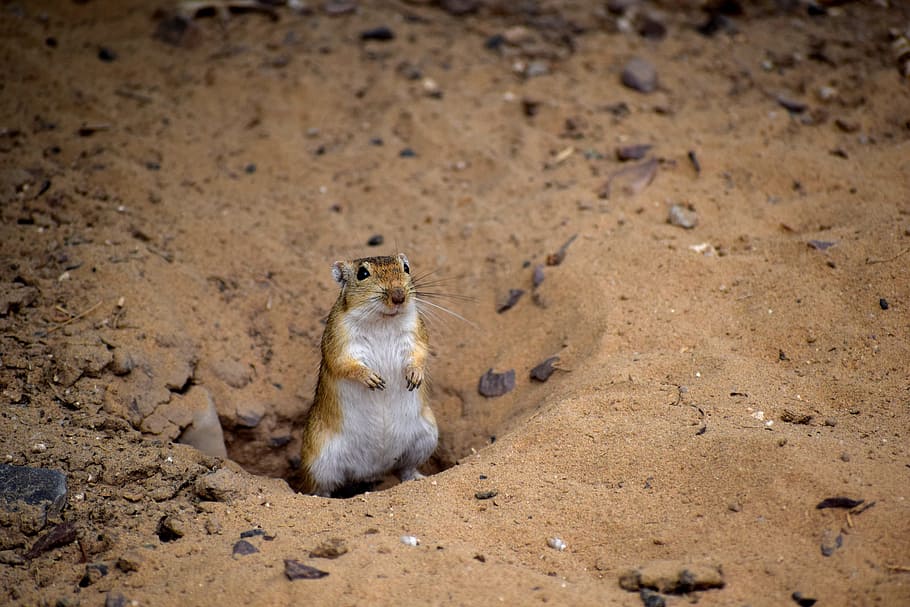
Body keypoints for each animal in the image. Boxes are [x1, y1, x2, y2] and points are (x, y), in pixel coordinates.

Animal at [297, 253, 437, 497]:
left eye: (406, 268)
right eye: (362, 273)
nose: (399, 296)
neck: (383, 320)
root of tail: (373, 469)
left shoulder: (416, 336)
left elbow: (419, 355)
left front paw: (415, 376)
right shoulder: (340, 345)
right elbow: (346, 364)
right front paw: (372, 379)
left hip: (425, 438)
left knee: (406, 469)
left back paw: (418, 478)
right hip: (319, 460)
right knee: (321, 488)